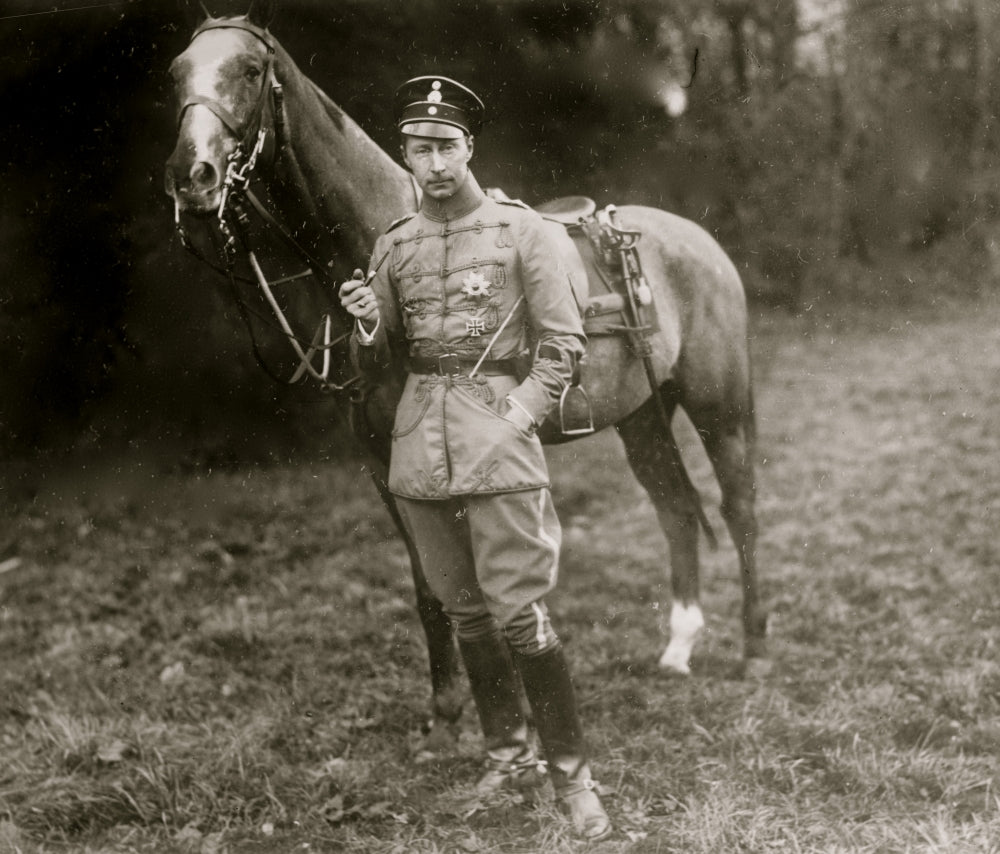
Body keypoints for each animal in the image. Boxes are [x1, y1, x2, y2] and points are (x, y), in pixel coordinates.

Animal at [164, 7, 768, 749]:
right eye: (177, 74)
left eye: (249, 71)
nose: (192, 176)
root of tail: (698, 241)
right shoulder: (386, 464)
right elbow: (431, 585)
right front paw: (449, 711)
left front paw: (518, 720)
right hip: (643, 419)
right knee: (677, 508)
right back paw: (678, 648)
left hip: (722, 410)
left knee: (738, 511)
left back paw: (754, 652)